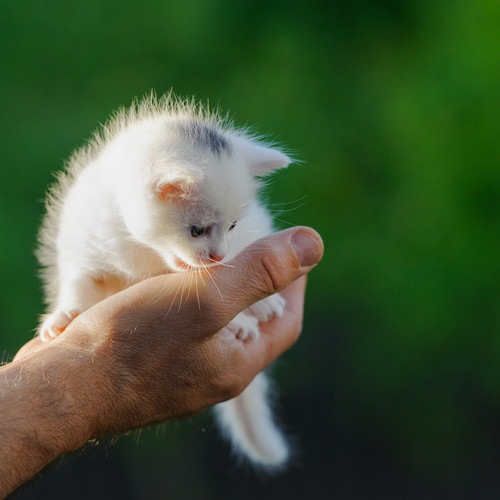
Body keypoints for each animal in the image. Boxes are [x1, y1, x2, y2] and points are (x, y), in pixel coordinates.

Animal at [38, 94, 292, 468]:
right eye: (197, 229)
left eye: (232, 226)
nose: (218, 255)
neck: (144, 250)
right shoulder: (84, 244)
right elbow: (79, 283)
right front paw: (63, 316)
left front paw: (244, 317)